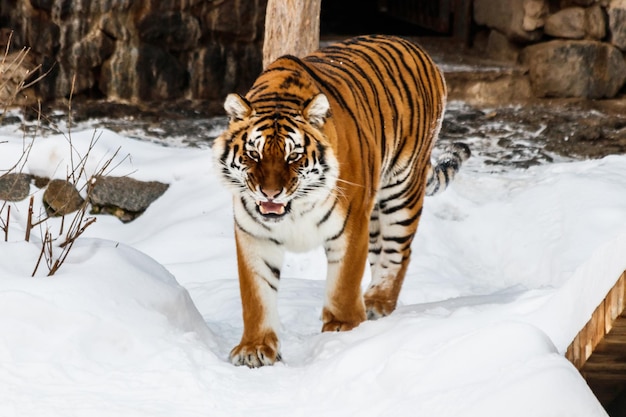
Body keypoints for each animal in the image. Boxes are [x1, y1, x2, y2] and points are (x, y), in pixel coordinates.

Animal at [212, 35, 466, 368]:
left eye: (293, 156)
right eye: (254, 154)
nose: (270, 193)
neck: (295, 210)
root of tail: (415, 46)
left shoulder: (351, 224)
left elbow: (343, 284)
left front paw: (344, 331)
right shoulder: (254, 236)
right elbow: (256, 296)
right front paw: (255, 348)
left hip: (401, 188)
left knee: (399, 251)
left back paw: (377, 302)